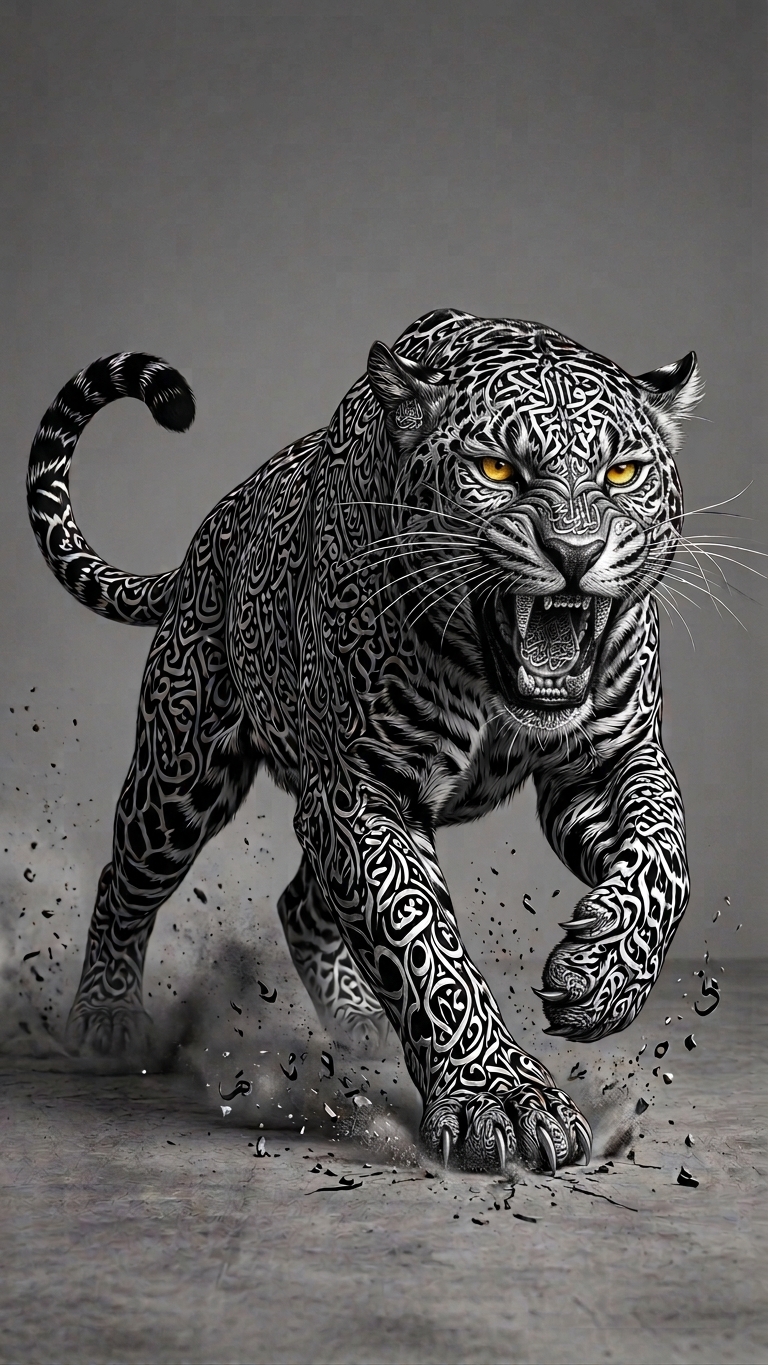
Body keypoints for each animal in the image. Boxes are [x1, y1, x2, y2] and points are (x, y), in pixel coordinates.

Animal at [26, 309, 702, 1172]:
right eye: (496, 468)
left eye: (621, 473)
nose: (575, 556)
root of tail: (210, 531)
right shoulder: (361, 789)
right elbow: (419, 939)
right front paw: (500, 1099)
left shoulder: (609, 758)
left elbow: (665, 851)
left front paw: (602, 977)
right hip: (184, 771)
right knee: (128, 876)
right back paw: (106, 1025)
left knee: (300, 901)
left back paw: (362, 1029)